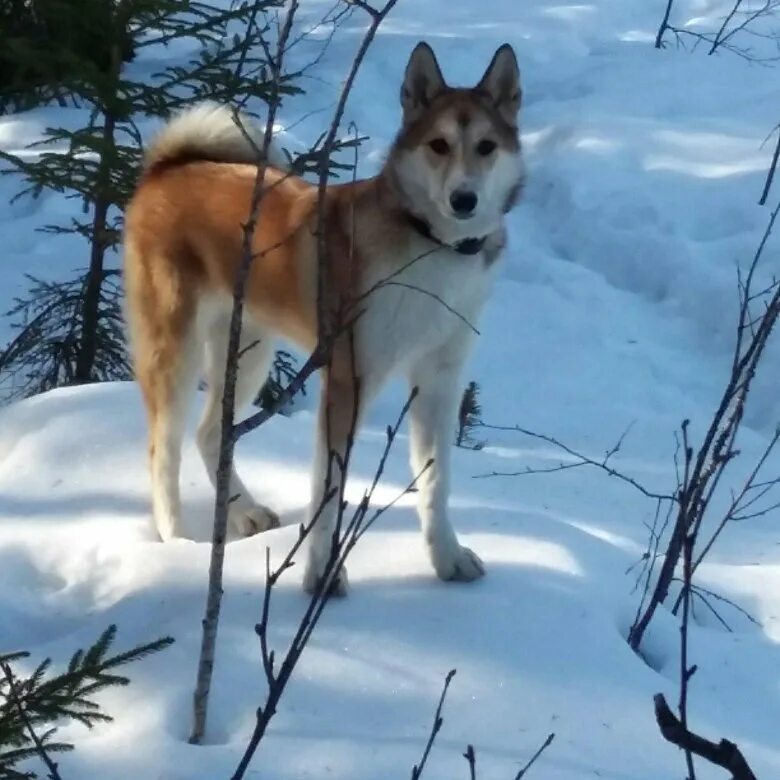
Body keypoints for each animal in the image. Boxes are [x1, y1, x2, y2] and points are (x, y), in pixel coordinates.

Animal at [123, 41, 524, 592]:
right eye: (438, 145)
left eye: (486, 147)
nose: (464, 199)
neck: (431, 246)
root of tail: (167, 170)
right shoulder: (348, 379)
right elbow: (329, 492)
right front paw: (321, 574)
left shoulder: (440, 381)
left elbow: (436, 480)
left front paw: (446, 557)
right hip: (176, 352)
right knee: (162, 449)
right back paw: (178, 541)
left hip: (249, 353)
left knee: (209, 434)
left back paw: (243, 511)